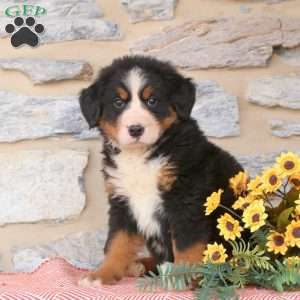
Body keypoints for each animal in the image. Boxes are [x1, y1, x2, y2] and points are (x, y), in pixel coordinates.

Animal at [78, 55, 244, 288]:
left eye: (152, 101)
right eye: (118, 102)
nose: (136, 129)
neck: (140, 157)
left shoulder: (186, 199)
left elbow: (186, 244)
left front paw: (183, 276)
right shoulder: (122, 202)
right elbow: (117, 243)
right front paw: (102, 274)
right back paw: (137, 265)